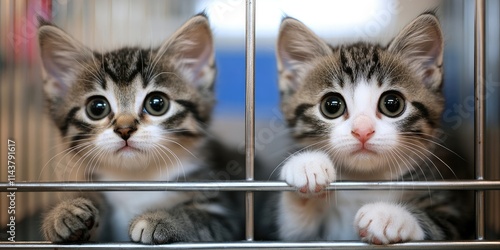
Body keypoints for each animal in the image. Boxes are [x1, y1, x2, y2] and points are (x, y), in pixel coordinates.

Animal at [37, 14, 244, 244]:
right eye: (97, 107)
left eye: (157, 103)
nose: (125, 129)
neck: (136, 180)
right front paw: (65, 211)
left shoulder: (225, 215)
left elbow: (200, 221)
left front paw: (161, 220)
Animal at [276, 13, 470, 244]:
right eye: (331, 105)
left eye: (392, 104)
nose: (362, 131)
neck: (364, 183)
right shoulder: (300, 236)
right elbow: (295, 233)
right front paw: (306, 165)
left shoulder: (456, 215)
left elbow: (440, 228)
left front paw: (389, 216)